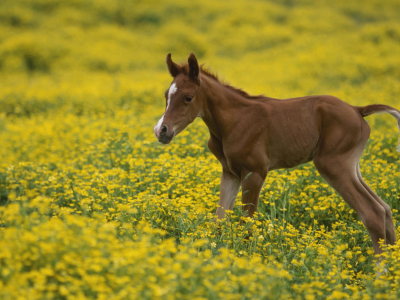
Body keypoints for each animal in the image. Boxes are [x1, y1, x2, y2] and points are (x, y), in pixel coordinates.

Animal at [155, 52, 398, 254]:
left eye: (188, 97)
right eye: (166, 95)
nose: (161, 130)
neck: (233, 121)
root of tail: (358, 110)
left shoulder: (255, 173)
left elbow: (247, 223)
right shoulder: (230, 173)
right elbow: (219, 220)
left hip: (333, 165)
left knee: (373, 213)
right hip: (351, 166)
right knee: (385, 208)